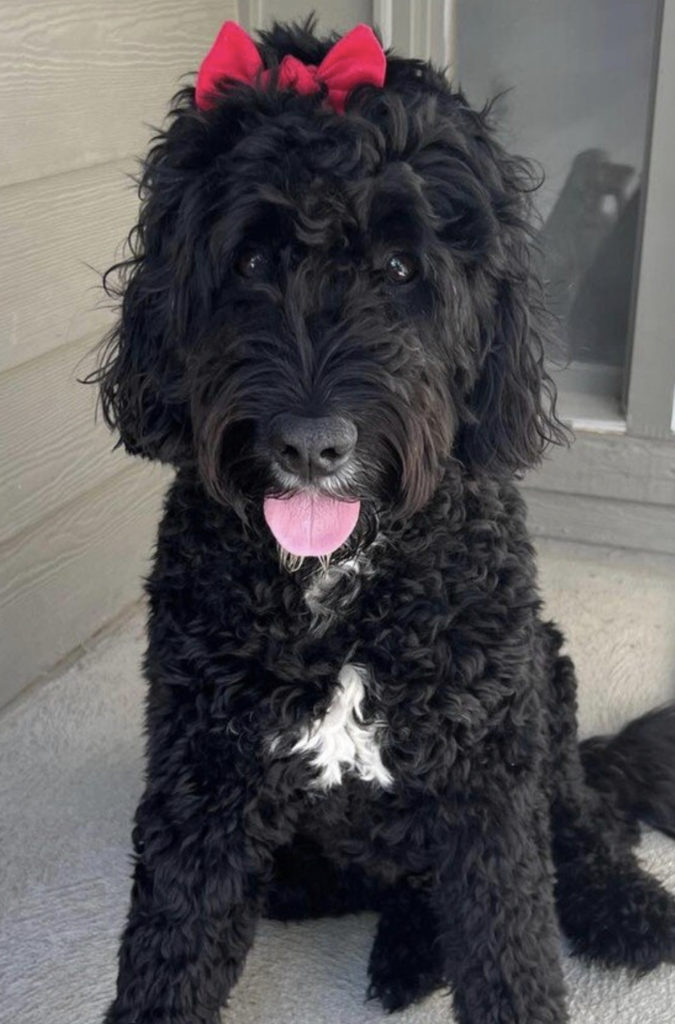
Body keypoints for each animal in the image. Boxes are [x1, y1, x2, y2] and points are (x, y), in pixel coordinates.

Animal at [93, 18, 675, 1024]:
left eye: (401, 268)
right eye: (251, 259)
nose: (310, 444)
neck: (342, 587)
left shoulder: (487, 780)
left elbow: (511, 937)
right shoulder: (203, 774)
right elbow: (174, 941)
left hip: (544, 684)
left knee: (579, 817)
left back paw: (622, 907)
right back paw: (407, 945)